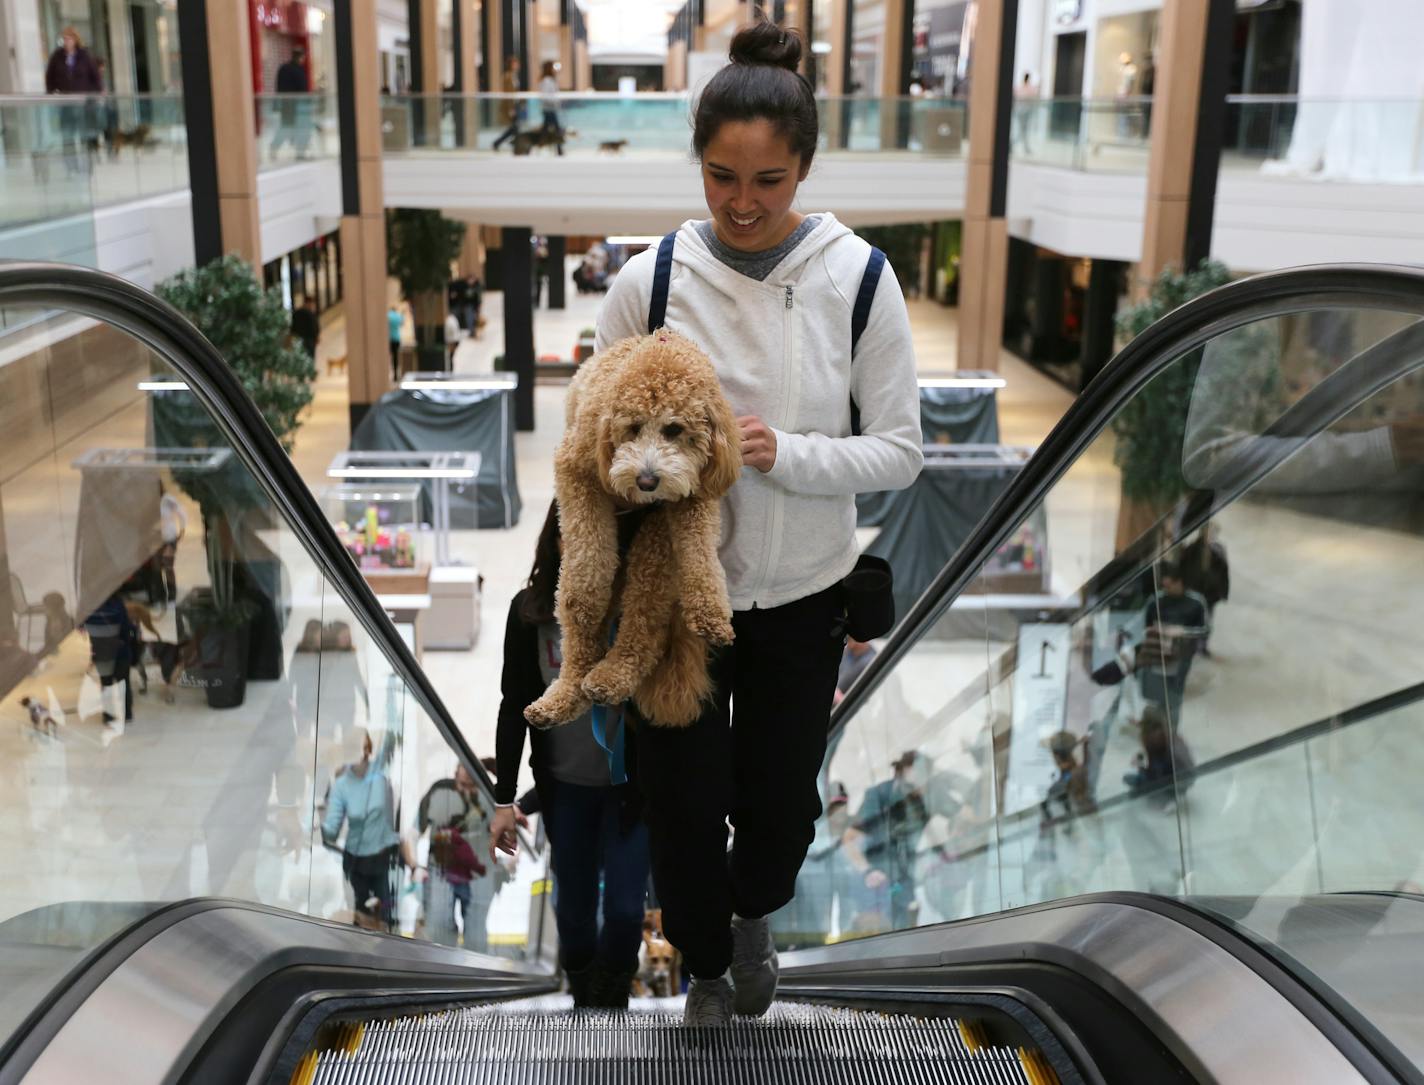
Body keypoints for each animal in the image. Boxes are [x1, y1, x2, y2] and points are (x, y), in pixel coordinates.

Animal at [526, 330, 746, 726]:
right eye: (632, 427)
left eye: (674, 429)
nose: (646, 481)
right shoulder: (578, 468)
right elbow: (588, 555)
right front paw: (588, 593)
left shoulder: (691, 495)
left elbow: (701, 553)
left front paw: (711, 612)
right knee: (579, 634)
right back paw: (563, 696)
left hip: (652, 548)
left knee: (645, 616)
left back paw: (613, 675)